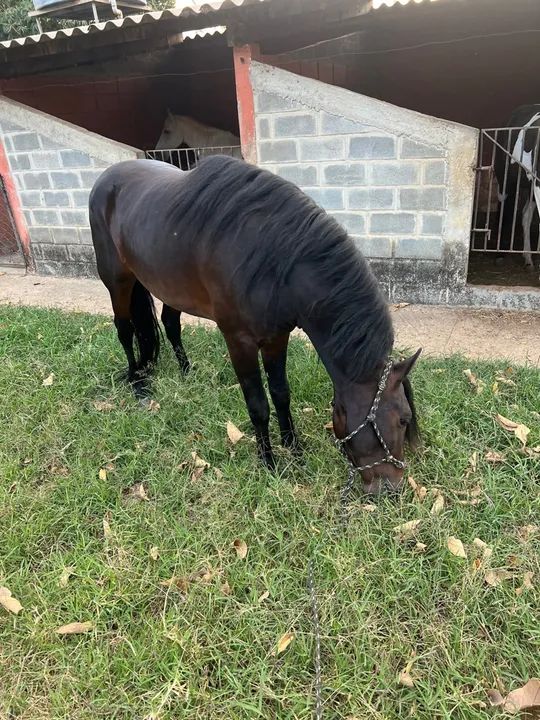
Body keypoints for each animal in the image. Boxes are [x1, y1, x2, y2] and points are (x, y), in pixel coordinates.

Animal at [89, 155, 420, 495]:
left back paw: (185, 371)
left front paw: (294, 448)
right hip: (117, 281)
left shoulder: (277, 338)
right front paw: (269, 461)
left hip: (172, 287)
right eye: (403, 420)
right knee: (124, 329)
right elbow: (258, 404)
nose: (393, 487)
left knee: (170, 323)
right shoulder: (240, 342)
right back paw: (137, 381)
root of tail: (107, 177)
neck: (274, 261)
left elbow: (281, 393)